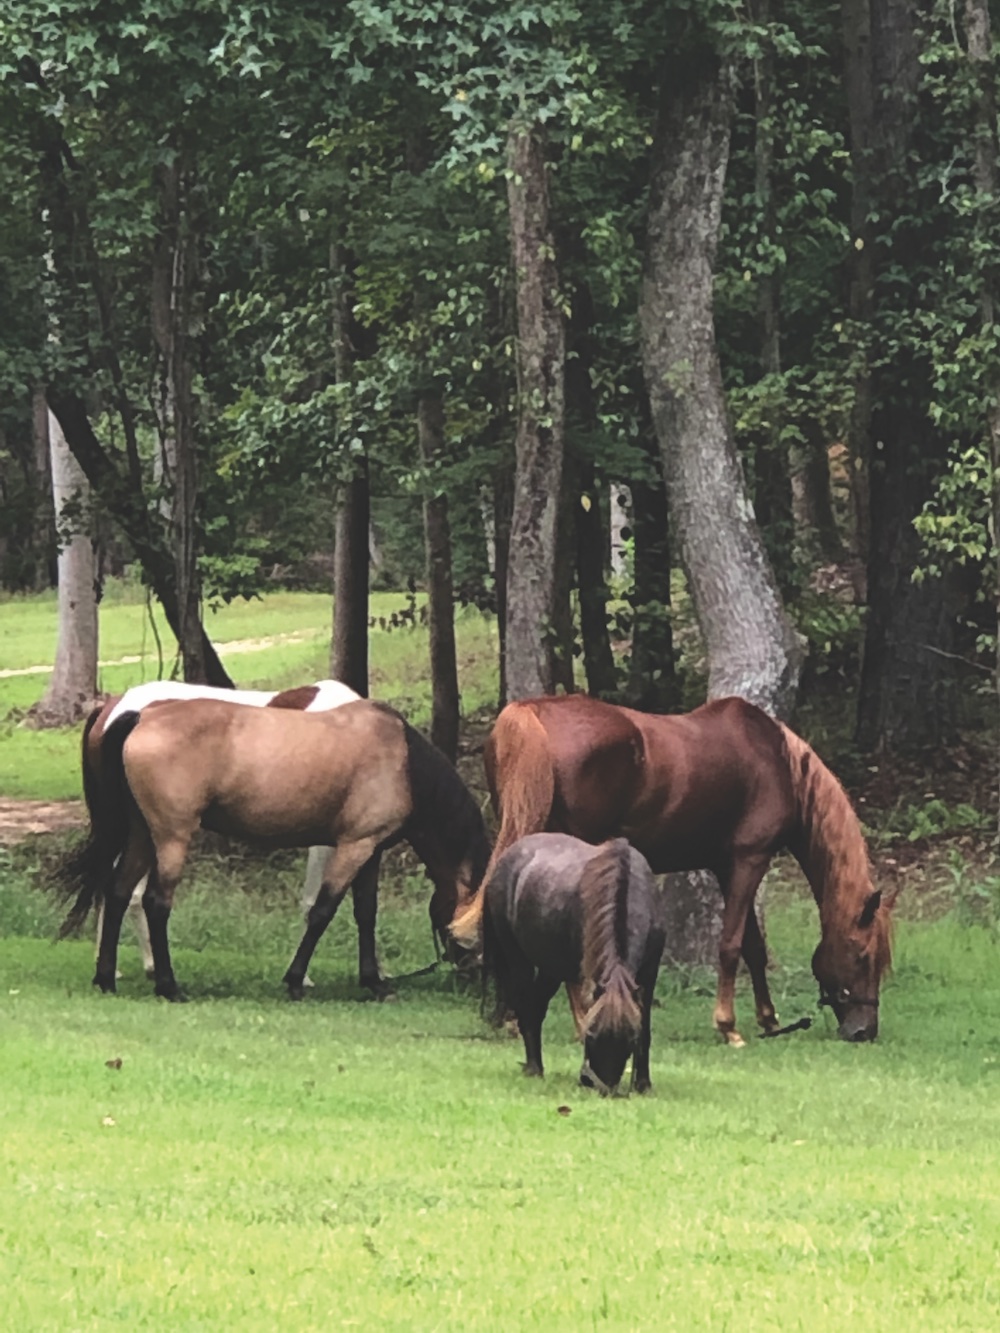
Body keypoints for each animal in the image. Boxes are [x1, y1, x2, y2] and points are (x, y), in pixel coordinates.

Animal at [451, 694, 895, 1045]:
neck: (778, 763)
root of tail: (531, 712)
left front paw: (768, 1020)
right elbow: (731, 946)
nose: (864, 1031)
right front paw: (728, 1027)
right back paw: (580, 1024)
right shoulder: (749, 860)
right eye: (862, 956)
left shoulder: (728, 868)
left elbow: (752, 947)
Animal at [483, 834, 665, 1094]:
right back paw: (534, 1067)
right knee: (525, 1005)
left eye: (630, 1040)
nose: (597, 1084)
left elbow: (646, 1027)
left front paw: (643, 1083)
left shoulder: (649, 973)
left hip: (550, 970)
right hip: (518, 960)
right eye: (591, 1035)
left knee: (536, 1007)